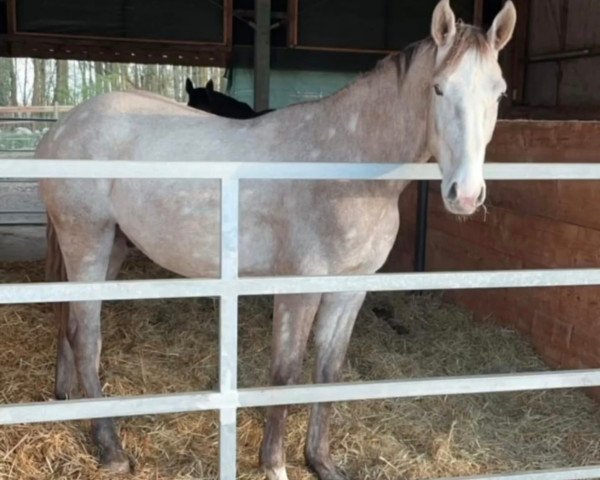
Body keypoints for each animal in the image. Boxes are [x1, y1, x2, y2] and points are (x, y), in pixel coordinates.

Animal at [36, 1, 516, 478]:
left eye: (498, 93)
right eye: (438, 89)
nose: (465, 194)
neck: (344, 167)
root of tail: (60, 129)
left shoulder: (350, 289)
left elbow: (328, 371)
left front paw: (321, 462)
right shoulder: (297, 287)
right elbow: (285, 374)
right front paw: (274, 465)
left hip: (113, 247)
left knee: (71, 326)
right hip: (86, 240)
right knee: (86, 334)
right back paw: (111, 448)